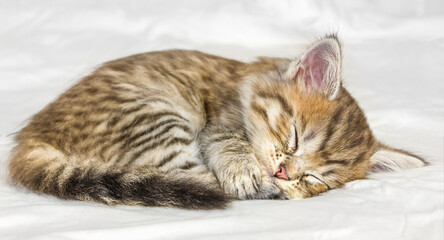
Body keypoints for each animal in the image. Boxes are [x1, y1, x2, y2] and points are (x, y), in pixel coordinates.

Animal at [6, 34, 424, 209]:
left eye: (316, 178)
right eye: (294, 137)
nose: (285, 174)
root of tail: (32, 137)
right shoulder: (217, 124)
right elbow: (231, 145)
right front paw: (247, 173)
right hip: (155, 116)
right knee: (193, 180)